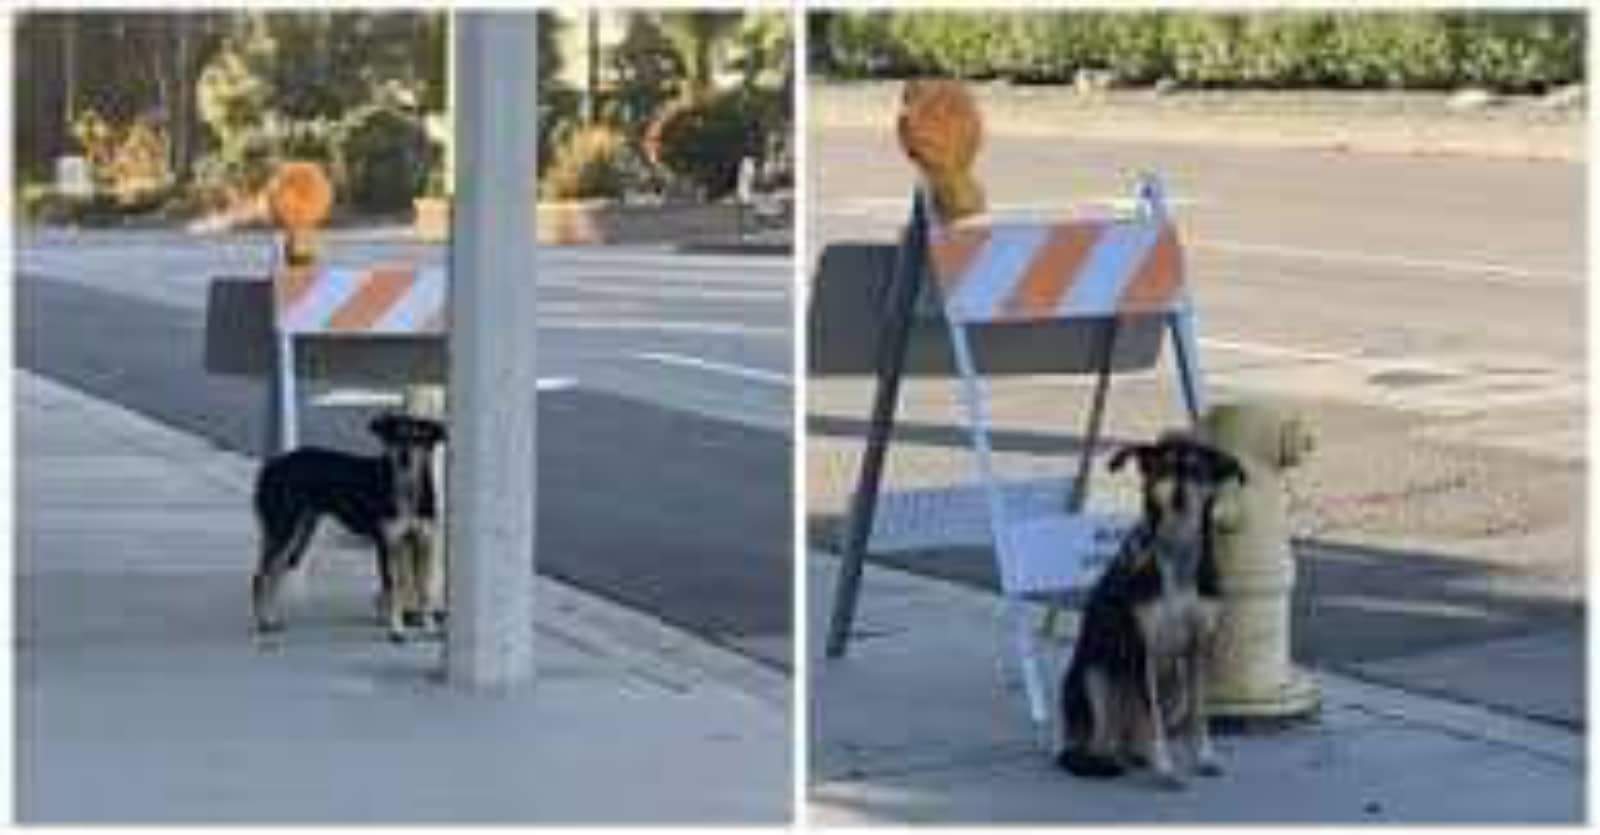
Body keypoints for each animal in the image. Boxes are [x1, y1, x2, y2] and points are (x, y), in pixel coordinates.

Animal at [249, 412, 451, 639]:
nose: (404, 457)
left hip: (299, 532)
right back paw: (261, 623)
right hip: (284, 527)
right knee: (261, 576)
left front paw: (429, 627)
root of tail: (271, 465)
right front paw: (396, 630)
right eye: (395, 435)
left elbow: (425, 589)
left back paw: (270, 619)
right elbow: (393, 587)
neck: (407, 489)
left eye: (419, 437)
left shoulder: (424, 541)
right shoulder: (388, 543)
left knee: (275, 573)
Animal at [1062, 431, 1248, 790]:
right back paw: (1111, 761)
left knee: (1134, 737)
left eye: (1197, 471)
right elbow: (1153, 721)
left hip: (1175, 683)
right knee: (1099, 742)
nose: (1179, 497)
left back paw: (1135, 756)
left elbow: (1199, 713)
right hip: (1095, 674)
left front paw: (1204, 758)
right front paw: (1165, 768)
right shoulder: (1143, 651)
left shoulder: (1197, 649)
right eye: (1162, 469)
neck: (1178, 553)